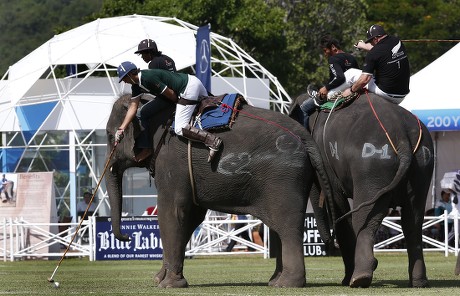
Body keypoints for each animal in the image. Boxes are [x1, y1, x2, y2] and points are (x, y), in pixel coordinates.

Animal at [104, 94, 334, 286]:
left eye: (109, 135)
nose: (127, 237)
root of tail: (304, 134)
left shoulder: (171, 163)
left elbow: (172, 212)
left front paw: (168, 284)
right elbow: (191, 217)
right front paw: (159, 279)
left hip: (284, 178)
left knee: (288, 227)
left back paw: (286, 284)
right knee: (278, 228)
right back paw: (274, 281)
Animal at [290, 92, 434, 286]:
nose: (331, 245)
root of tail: (403, 138)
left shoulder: (327, 163)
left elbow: (338, 204)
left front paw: (346, 279)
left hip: (371, 167)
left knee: (364, 218)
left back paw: (359, 279)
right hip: (422, 165)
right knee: (413, 220)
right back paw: (419, 283)